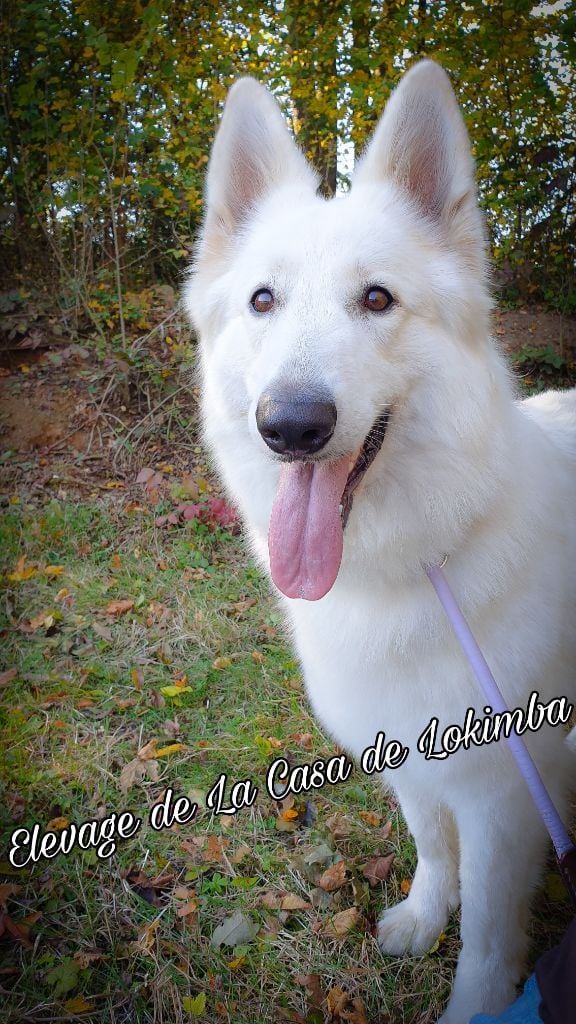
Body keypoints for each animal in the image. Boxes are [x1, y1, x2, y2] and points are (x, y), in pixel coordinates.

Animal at [185, 60, 576, 1024]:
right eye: (262, 300)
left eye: (377, 299)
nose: (290, 426)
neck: (421, 558)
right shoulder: (416, 762)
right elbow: (432, 848)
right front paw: (423, 916)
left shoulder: (504, 797)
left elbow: (488, 932)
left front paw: (476, 1006)